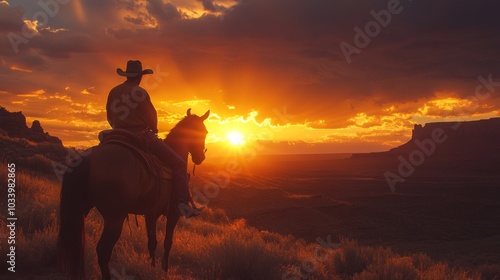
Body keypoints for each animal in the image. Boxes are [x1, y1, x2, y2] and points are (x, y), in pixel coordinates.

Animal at [58, 108, 209, 278]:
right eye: (204, 132)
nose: (200, 157)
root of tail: (88, 159)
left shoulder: (151, 214)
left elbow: (152, 242)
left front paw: (152, 267)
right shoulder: (173, 213)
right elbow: (167, 242)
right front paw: (164, 270)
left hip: (81, 209)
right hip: (114, 218)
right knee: (103, 251)